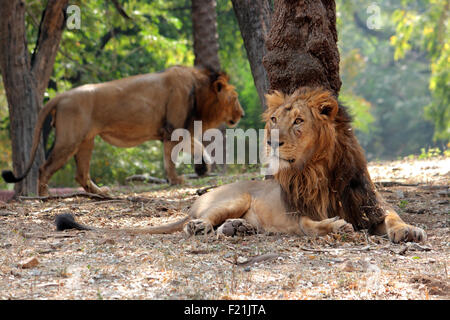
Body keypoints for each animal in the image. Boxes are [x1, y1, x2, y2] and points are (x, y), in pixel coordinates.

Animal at [1, 66, 244, 196]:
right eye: (234, 98)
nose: (241, 114)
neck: (199, 90)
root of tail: (61, 96)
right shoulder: (173, 129)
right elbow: (174, 156)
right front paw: (178, 179)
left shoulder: (176, 130)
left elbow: (196, 146)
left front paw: (201, 168)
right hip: (69, 140)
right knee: (44, 168)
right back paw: (44, 196)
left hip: (86, 140)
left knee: (81, 174)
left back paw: (101, 193)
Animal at [55, 87, 426, 242]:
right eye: (274, 119)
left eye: (298, 121)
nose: (271, 140)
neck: (318, 169)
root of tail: (195, 203)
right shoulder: (297, 211)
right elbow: (310, 224)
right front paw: (336, 227)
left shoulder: (369, 203)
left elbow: (393, 217)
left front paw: (409, 230)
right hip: (234, 197)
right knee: (200, 223)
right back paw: (205, 227)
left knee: (226, 225)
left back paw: (239, 229)